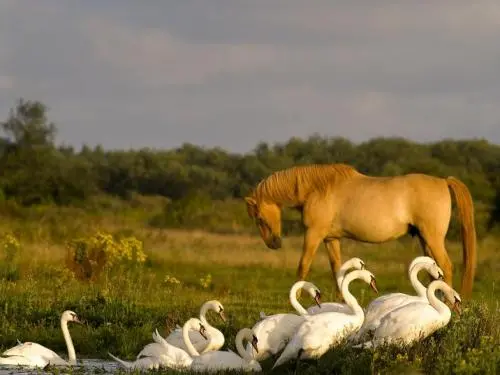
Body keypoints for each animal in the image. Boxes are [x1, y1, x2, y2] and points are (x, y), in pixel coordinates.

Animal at [244, 164, 478, 300]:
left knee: (446, 266)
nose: (273, 243)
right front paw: (340, 300)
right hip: (424, 239)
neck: (317, 189)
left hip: (432, 238)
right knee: (433, 269)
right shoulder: (331, 239)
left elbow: (303, 266)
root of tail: (443, 181)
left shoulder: (313, 234)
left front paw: (297, 296)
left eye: (259, 218)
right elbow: (336, 268)